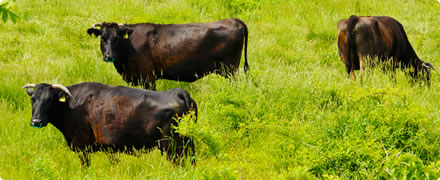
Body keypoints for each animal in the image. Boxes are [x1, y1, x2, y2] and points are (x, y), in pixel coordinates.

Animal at [21, 82, 198, 167]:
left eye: (50, 100)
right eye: (33, 99)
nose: (36, 121)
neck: (70, 105)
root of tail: (177, 91)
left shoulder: (82, 146)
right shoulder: (109, 148)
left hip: (172, 147)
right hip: (187, 145)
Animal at [87, 18, 249, 90]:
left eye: (117, 38)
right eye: (102, 38)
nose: (109, 56)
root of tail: (233, 20)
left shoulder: (148, 77)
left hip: (230, 69)